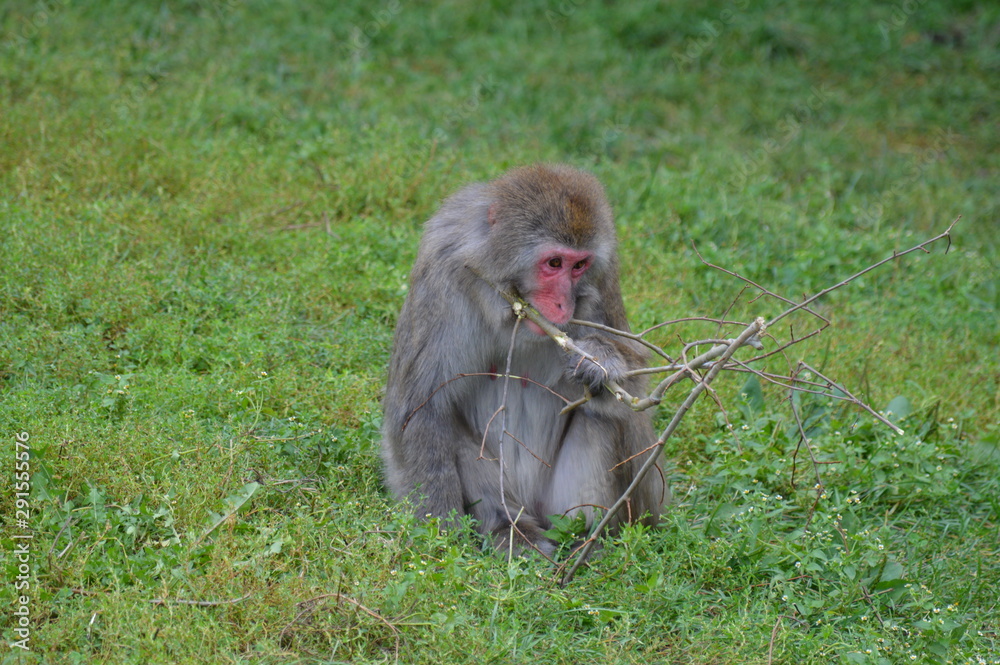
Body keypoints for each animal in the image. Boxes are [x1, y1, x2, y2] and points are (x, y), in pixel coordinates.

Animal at [380, 163, 664, 552]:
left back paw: (589, 541)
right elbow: (421, 406)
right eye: (554, 263)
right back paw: (510, 530)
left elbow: (634, 384)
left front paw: (602, 360)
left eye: (579, 266)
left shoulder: (604, 280)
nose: (563, 305)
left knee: (608, 416)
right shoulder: (440, 277)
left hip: (564, 505)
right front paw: (441, 537)